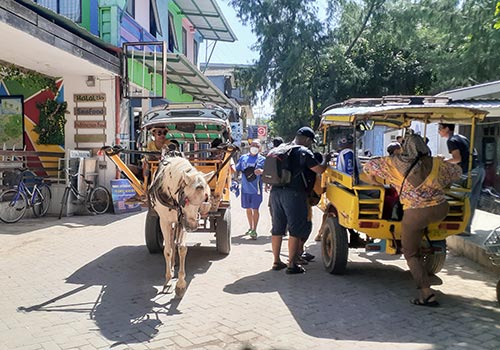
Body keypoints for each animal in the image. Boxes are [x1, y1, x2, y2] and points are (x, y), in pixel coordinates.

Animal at [147, 157, 212, 296]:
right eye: (186, 199)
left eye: (205, 197)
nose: (192, 226)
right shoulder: (165, 221)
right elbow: (167, 250)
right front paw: (168, 280)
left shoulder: (183, 220)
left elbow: (182, 248)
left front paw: (181, 284)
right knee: (171, 242)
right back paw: (171, 267)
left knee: (174, 241)